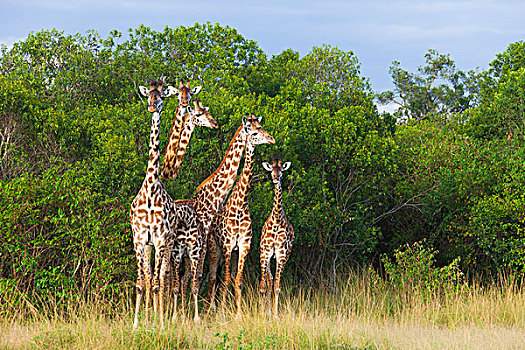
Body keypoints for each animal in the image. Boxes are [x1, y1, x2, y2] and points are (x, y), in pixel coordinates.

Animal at [131, 80, 201, 330]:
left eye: (161, 96)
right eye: (148, 95)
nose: (152, 106)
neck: (151, 187)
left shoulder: (161, 238)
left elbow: (157, 282)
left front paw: (158, 324)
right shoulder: (140, 238)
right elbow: (141, 282)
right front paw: (136, 325)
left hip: (169, 245)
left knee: (162, 277)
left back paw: (160, 319)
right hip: (151, 245)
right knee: (151, 276)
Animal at [208, 115, 276, 318]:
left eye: (261, 126)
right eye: (253, 132)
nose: (271, 139)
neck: (240, 204)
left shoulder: (244, 245)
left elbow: (238, 279)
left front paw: (238, 313)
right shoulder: (228, 244)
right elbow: (225, 279)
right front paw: (223, 313)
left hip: (233, 251)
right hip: (215, 248)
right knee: (213, 276)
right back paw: (212, 308)